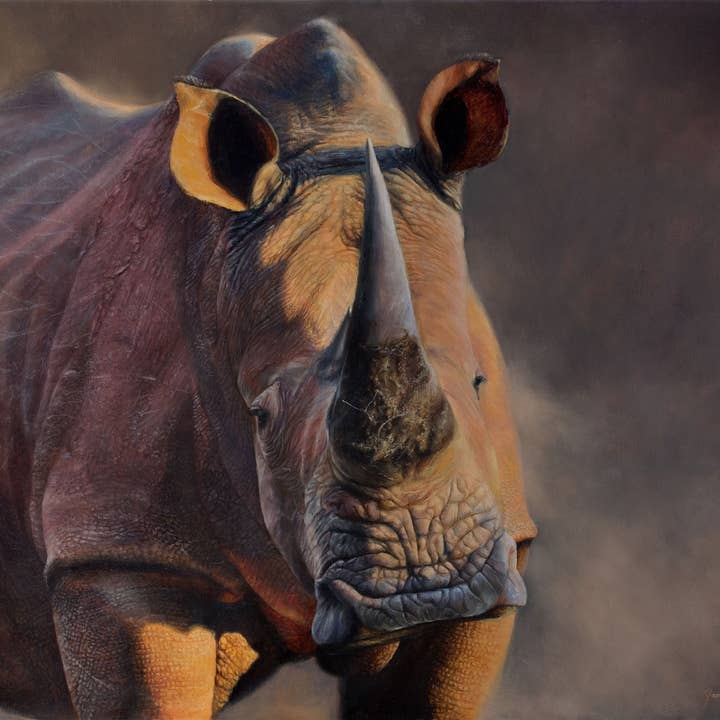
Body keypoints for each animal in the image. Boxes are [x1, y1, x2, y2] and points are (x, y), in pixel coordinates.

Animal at [0, 19, 536, 720]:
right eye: (260, 416)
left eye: (478, 383)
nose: (422, 588)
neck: (331, 138)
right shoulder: (118, 547)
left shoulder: (501, 545)